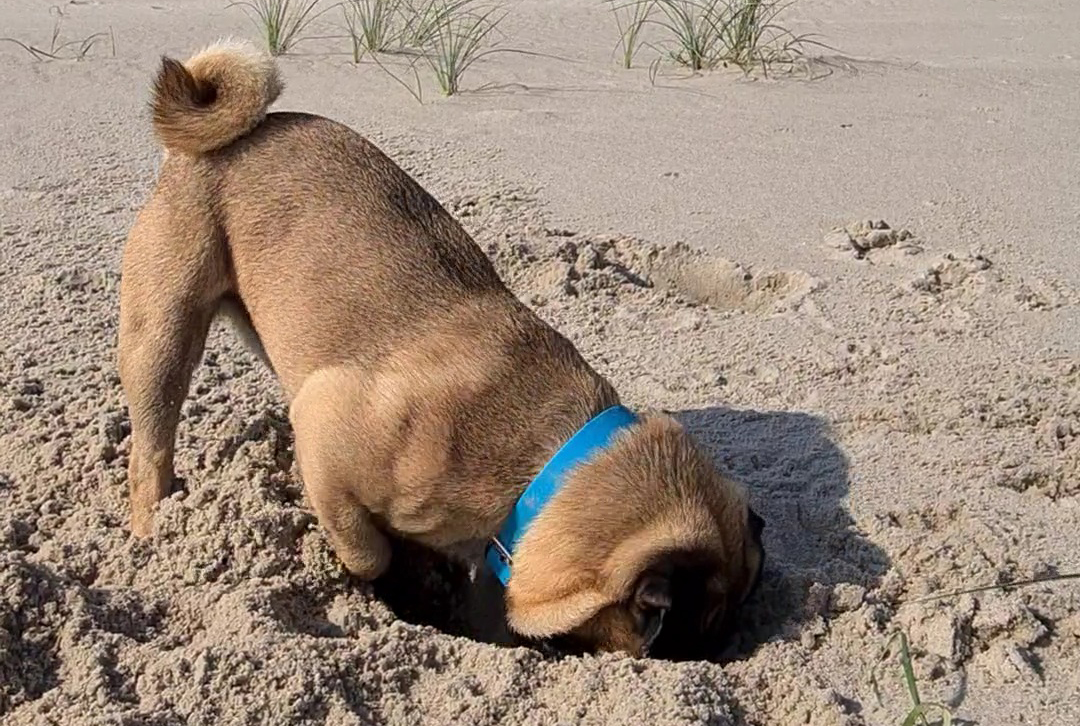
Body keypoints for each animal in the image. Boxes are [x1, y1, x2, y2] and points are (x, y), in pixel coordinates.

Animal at [118, 42, 764, 661]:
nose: (720, 651)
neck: (547, 461)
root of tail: (229, 132)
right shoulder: (326, 432)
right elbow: (367, 551)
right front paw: (400, 579)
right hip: (163, 333)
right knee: (152, 447)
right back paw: (153, 529)